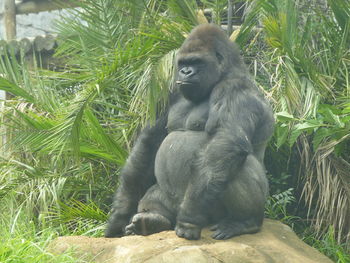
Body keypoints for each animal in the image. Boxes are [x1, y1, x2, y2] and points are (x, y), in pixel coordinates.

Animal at [105, 24, 274, 241]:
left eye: (196, 62)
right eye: (183, 63)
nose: (185, 72)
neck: (223, 74)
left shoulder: (235, 88)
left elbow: (226, 142)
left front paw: (189, 220)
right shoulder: (171, 90)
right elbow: (149, 143)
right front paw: (120, 215)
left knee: (232, 164)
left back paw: (244, 222)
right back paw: (152, 219)